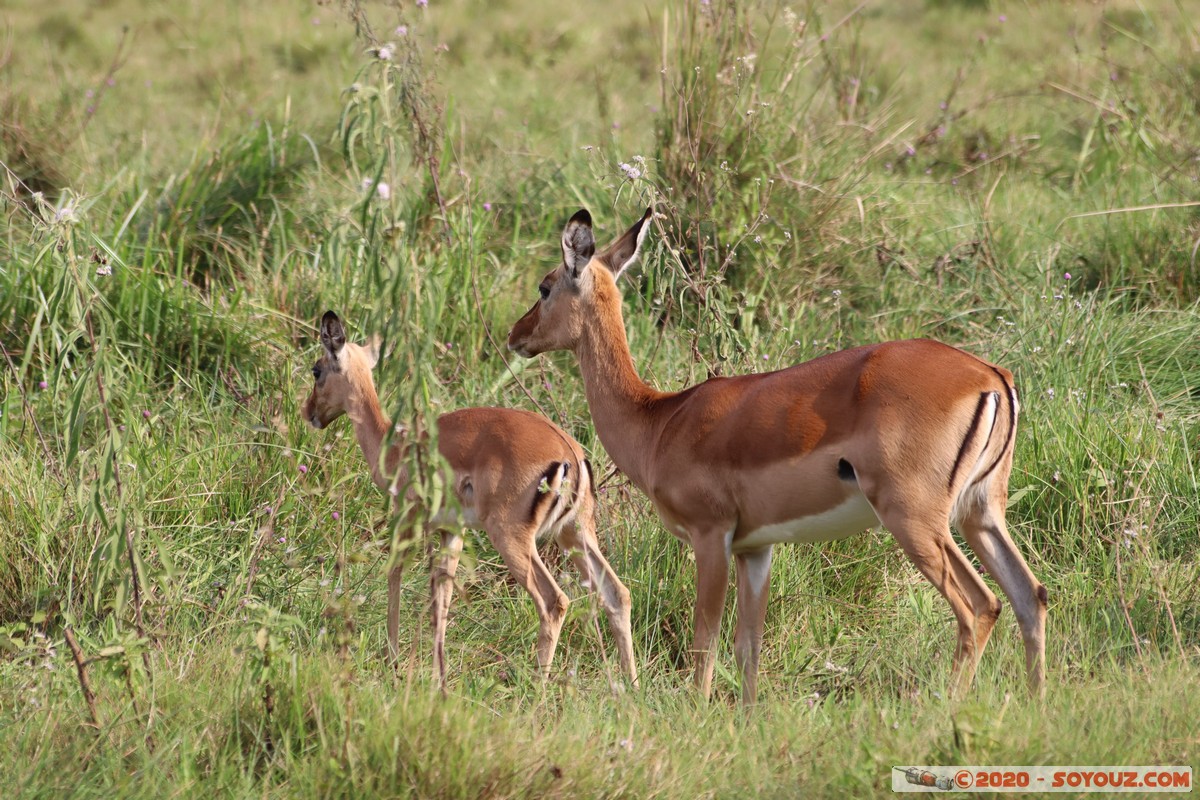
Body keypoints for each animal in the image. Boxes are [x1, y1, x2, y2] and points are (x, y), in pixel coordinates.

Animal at [302, 311, 637, 689]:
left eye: (317, 370)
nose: (309, 411)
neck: (393, 447)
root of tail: (571, 455)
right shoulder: (453, 532)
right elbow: (442, 599)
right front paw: (438, 679)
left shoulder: (407, 519)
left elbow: (395, 576)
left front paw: (394, 664)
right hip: (574, 534)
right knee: (617, 594)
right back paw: (631, 688)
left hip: (512, 537)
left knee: (554, 602)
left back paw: (535, 691)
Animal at [507, 209, 1047, 704]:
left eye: (545, 287)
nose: (516, 335)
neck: (660, 420)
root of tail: (990, 376)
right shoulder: (755, 548)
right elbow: (749, 646)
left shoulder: (711, 536)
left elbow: (705, 642)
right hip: (981, 513)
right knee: (1030, 596)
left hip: (915, 520)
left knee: (980, 605)